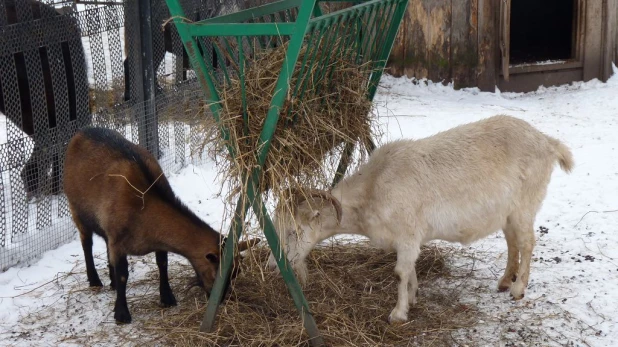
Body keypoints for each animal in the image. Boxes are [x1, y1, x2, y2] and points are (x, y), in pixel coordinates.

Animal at [65, 127, 260, 324]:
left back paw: (111, 281)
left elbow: (162, 263)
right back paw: (95, 280)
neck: (144, 206)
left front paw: (167, 298)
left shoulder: (150, 240)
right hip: (76, 209)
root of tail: (81, 132)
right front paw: (122, 314)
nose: (221, 300)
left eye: (236, 272)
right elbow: (123, 275)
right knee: (86, 243)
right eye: (218, 274)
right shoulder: (118, 241)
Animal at [264, 115, 572, 324]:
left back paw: (518, 289)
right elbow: (408, 269)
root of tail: (548, 142)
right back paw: (505, 281)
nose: (272, 265)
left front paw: (398, 313)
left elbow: (400, 271)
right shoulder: (406, 239)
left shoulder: (408, 232)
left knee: (527, 242)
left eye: (292, 232)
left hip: (525, 205)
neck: (374, 187)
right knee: (512, 242)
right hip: (506, 212)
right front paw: (412, 297)